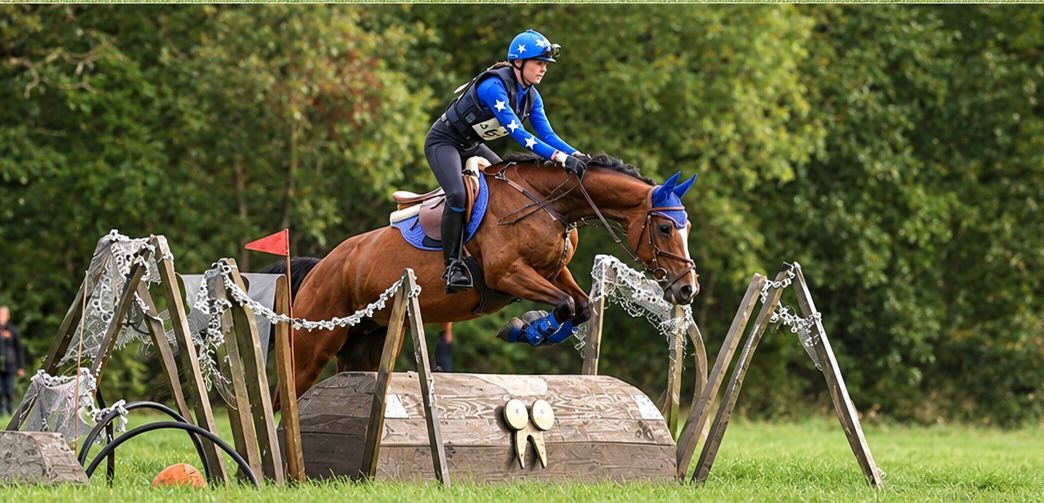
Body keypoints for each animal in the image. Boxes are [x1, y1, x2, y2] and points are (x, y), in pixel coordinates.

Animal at [270, 153, 700, 398]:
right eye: (665, 228)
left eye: (688, 227)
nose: (687, 290)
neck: (549, 204)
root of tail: (323, 265)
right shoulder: (507, 275)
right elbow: (564, 305)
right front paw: (525, 328)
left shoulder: (554, 271)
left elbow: (579, 308)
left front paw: (531, 328)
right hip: (312, 346)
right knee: (283, 398)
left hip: (366, 344)